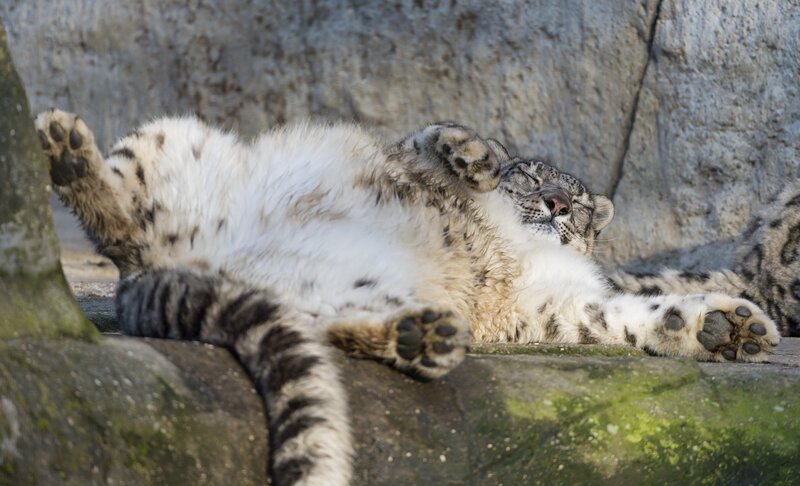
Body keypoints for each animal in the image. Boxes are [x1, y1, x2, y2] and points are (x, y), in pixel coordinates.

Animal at [36, 109, 780, 486]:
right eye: (531, 177)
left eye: (574, 201)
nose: (558, 203)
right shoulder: (414, 158)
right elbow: (426, 140)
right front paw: (472, 154)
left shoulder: (558, 304)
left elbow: (621, 317)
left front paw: (725, 328)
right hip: (171, 141)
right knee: (120, 219)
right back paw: (67, 146)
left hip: (338, 287)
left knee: (324, 327)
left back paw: (423, 338)